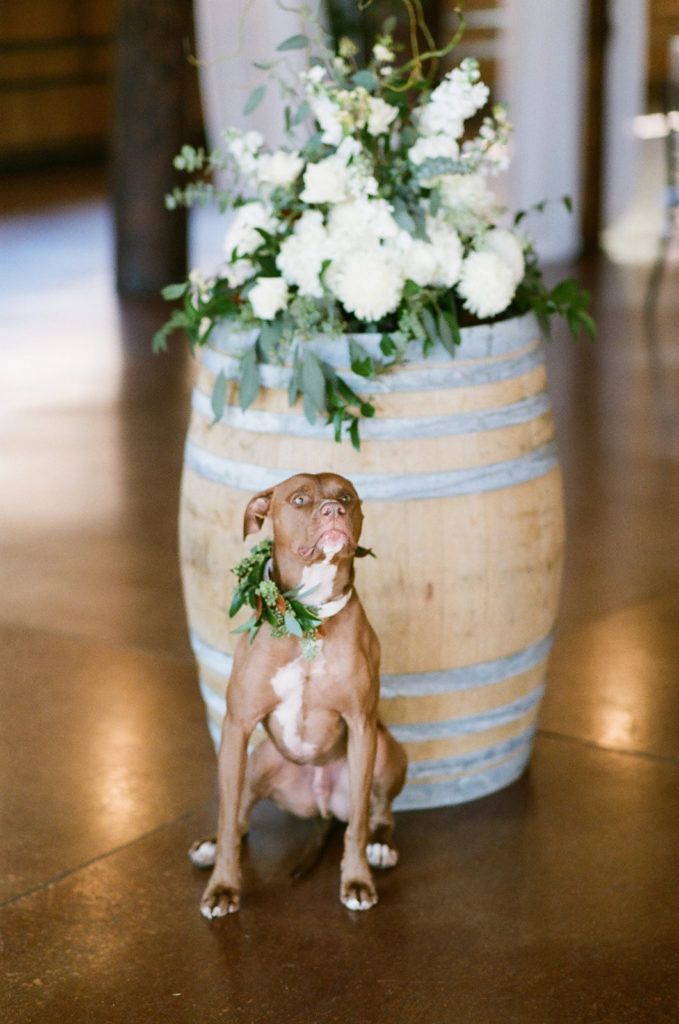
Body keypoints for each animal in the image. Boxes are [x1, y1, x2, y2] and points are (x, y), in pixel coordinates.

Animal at [193, 475, 409, 917]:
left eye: (346, 496)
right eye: (298, 500)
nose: (333, 510)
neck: (309, 619)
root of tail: (321, 806)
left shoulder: (361, 726)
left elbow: (358, 823)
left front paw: (357, 880)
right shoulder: (237, 727)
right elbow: (228, 818)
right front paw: (222, 887)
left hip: (385, 750)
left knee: (380, 812)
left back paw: (381, 845)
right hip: (258, 759)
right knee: (238, 815)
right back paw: (210, 845)